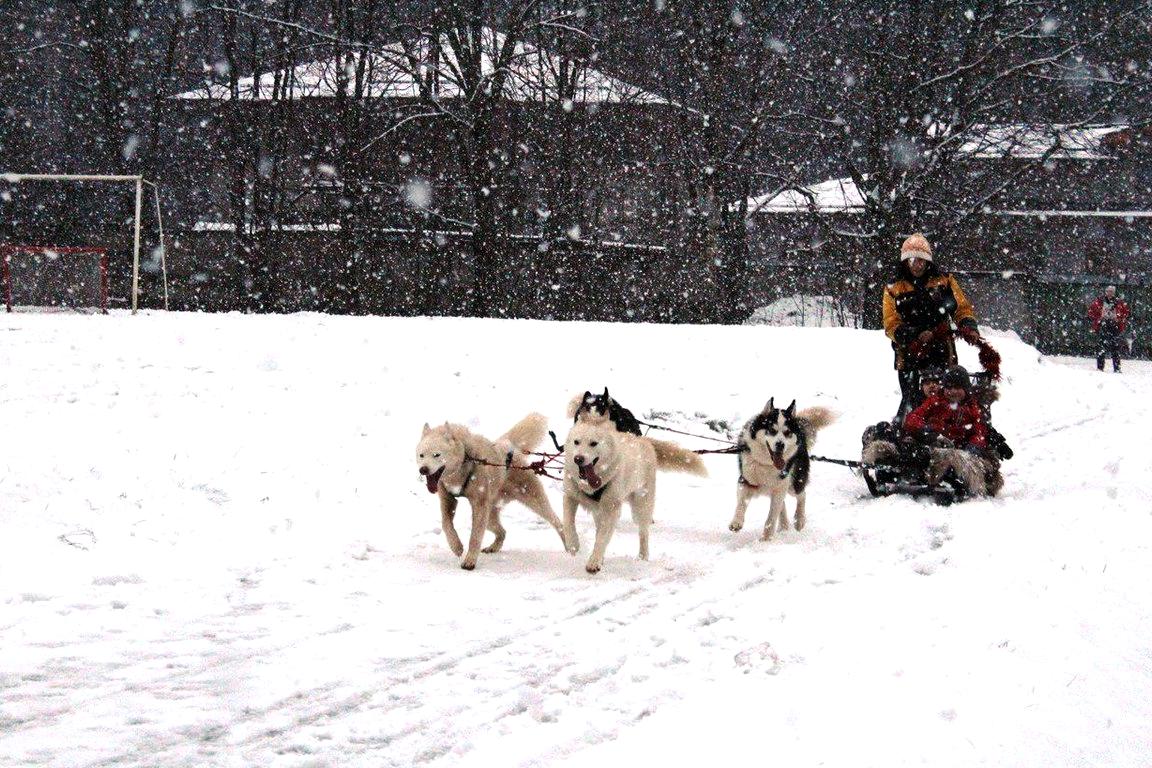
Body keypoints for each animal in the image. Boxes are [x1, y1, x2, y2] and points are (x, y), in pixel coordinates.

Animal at [419, 414, 571, 571]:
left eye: (436, 455)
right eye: (421, 455)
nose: (423, 469)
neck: (465, 460)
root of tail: (509, 446)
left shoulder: (479, 505)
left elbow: (475, 536)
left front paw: (470, 560)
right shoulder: (447, 499)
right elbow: (446, 523)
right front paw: (456, 546)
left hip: (533, 500)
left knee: (556, 521)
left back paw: (568, 544)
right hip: (490, 515)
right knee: (502, 532)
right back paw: (494, 546)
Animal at [562, 421, 705, 575]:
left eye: (593, 443)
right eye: (576, 442)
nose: (578, 459)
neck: (593, 484)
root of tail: (644, 440)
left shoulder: (611, 509)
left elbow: (601, 538)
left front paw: (594, 562)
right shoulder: (570, 496)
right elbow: (568, 523)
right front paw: (573, 544)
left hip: (640, 508)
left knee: (643, 533)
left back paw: (642, 556)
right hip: (599, 512)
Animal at [732, 402, 834, 541]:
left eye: (787, 432)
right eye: (772, 430)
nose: (780, 444)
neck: (767, 464)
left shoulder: (780, 486)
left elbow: (771, 518)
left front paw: (766, 540)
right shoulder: (745, 481)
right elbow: (741, 503)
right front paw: (736, 522)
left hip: (793, 484)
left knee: (802, 495)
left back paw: (799, 520)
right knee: (783, 503)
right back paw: (784, 525)